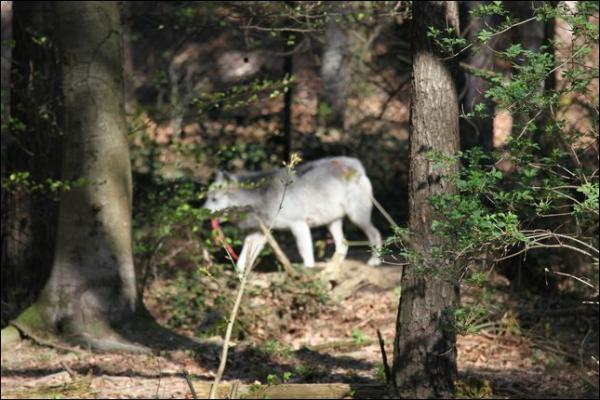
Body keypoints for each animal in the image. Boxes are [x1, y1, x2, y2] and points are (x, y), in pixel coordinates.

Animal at [204, 156, 382, 272]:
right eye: (207, 198)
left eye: (214, 199)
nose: (203, 216)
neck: (259, 197)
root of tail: (356, 164)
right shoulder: (260, 233)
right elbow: (243, 258)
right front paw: (239, 277)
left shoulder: (299, 225)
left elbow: (306, 253)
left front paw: (308, 272)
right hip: (332, 223)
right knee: (343, 244)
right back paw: (332, 266)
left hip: (357, 218)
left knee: (375, 234)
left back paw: (375, 261)